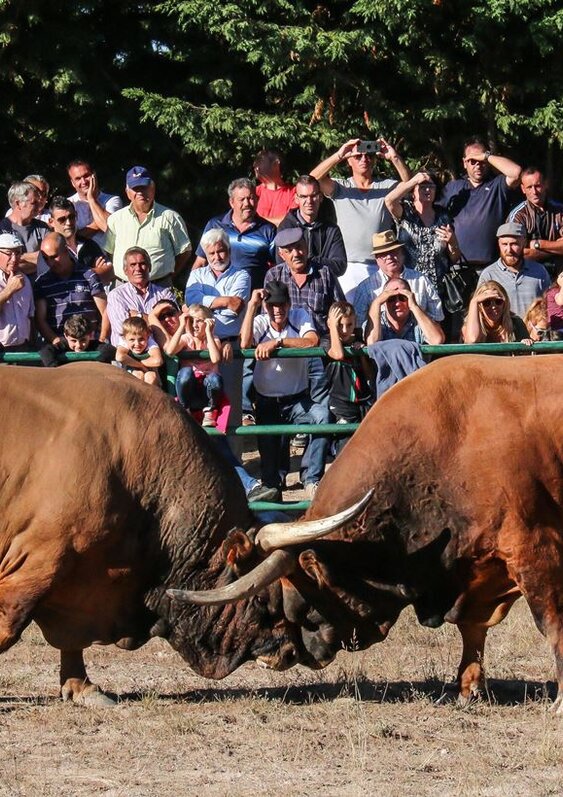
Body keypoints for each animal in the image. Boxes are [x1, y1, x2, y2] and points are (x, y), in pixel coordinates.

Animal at [182, 354, 563, 708]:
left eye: (293, 601)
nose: (286, 655)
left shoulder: (533, 548)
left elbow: (550, 623)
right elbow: (472, 630)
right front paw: (469, 687)